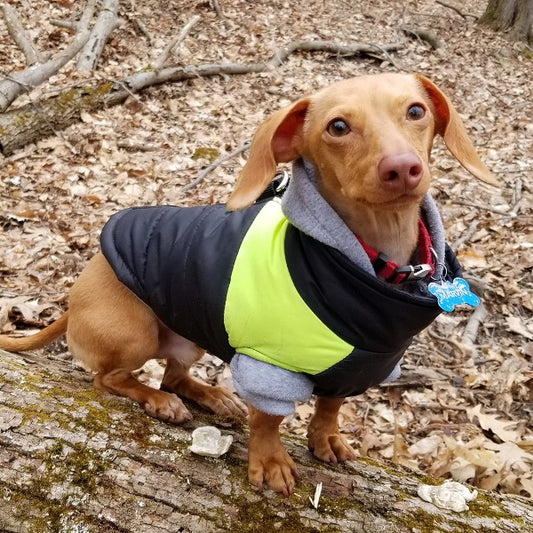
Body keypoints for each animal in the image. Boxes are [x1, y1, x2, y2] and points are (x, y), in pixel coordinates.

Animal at [1, 74, 498, 494]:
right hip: (134, 333)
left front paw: (327, 439)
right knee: (109, 379)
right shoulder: (268, 365)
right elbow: (268, 421)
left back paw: (213, 395)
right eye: (338, 126)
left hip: (189, 337)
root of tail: (76, 296)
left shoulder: (356, 367)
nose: (403, 168)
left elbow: (329, 408)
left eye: (416, 111)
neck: (375, 267)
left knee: (175, 376)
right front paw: (271, 462)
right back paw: (157, 401)